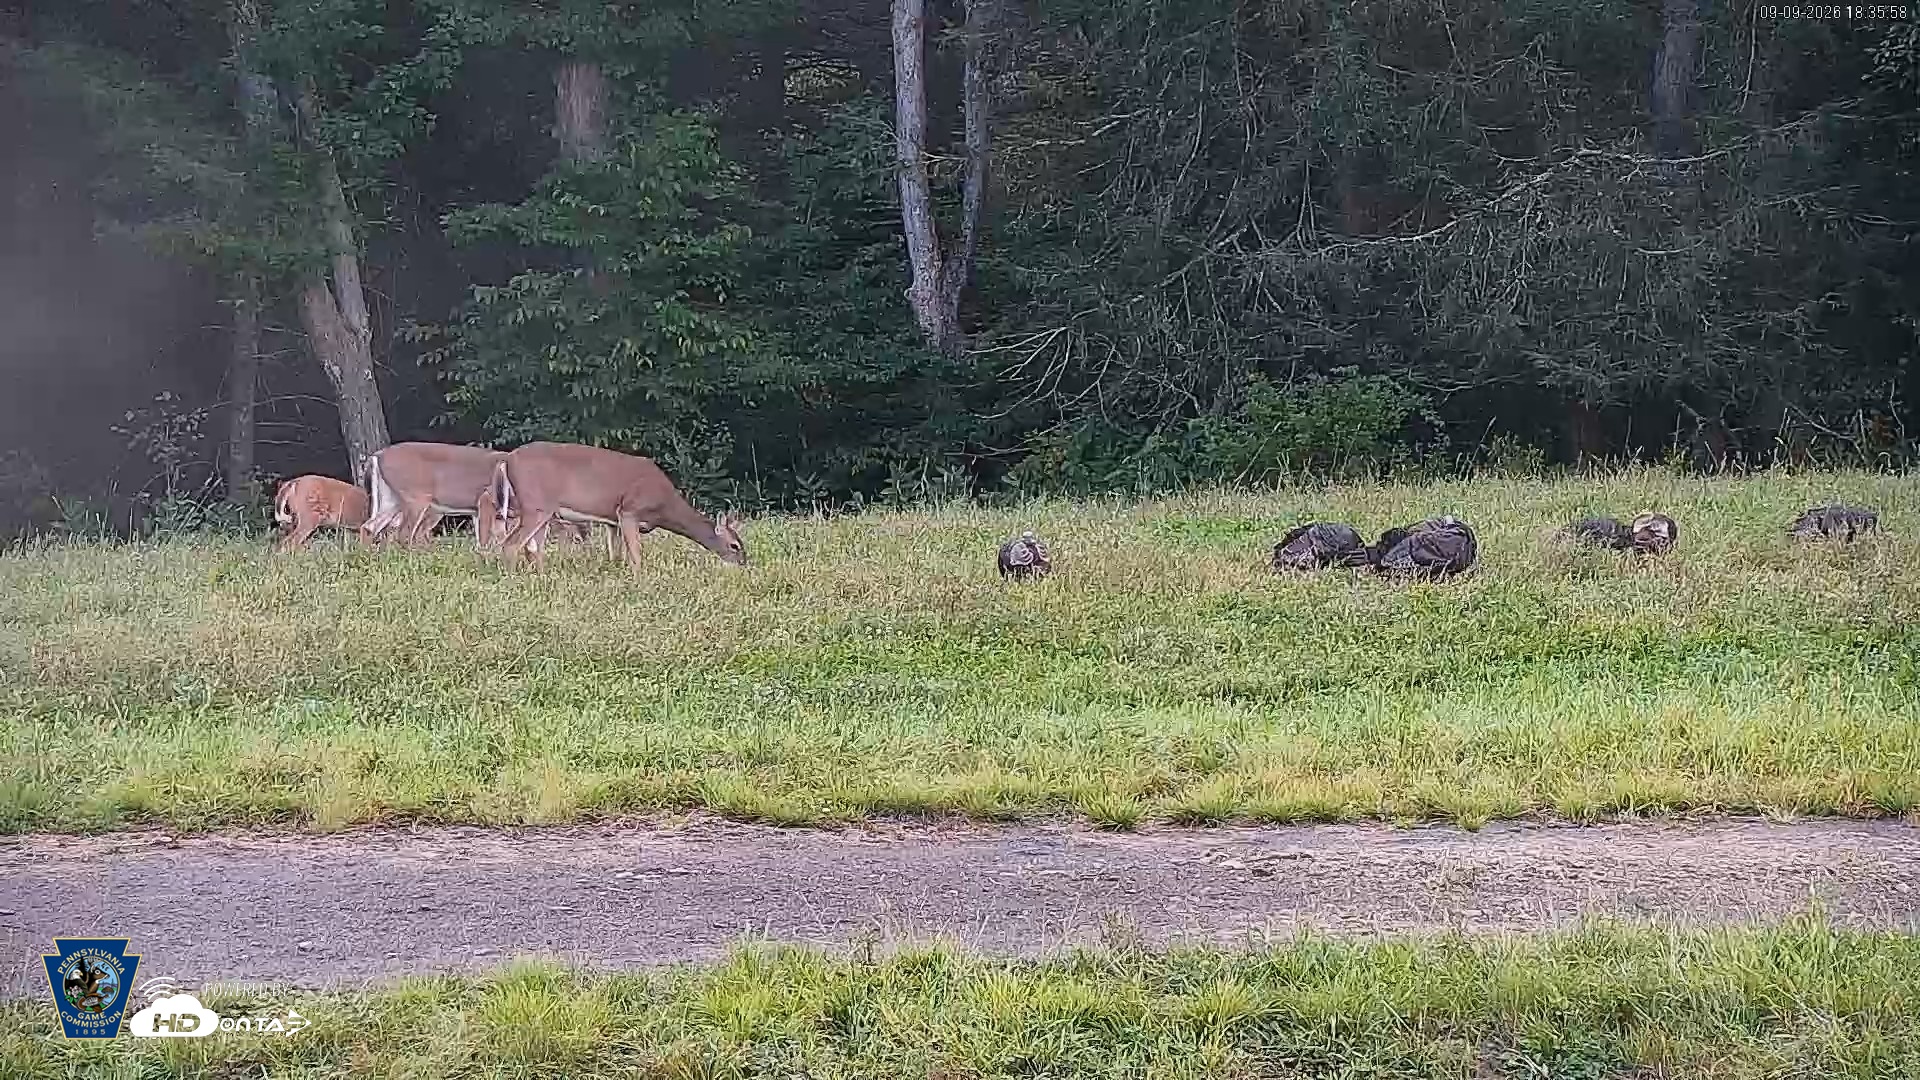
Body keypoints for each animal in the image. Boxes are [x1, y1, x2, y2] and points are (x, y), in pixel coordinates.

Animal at [489, 441, 746, 569]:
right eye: (734, 545)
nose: (744, 564)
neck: (664, 507)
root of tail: (507, 459)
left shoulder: (613, 520)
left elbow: (616, 555)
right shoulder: (630, 510)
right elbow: (636, 555)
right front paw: (640, 582)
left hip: (542, 510)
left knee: (533, 549)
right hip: (537, 505)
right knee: (511, 545)